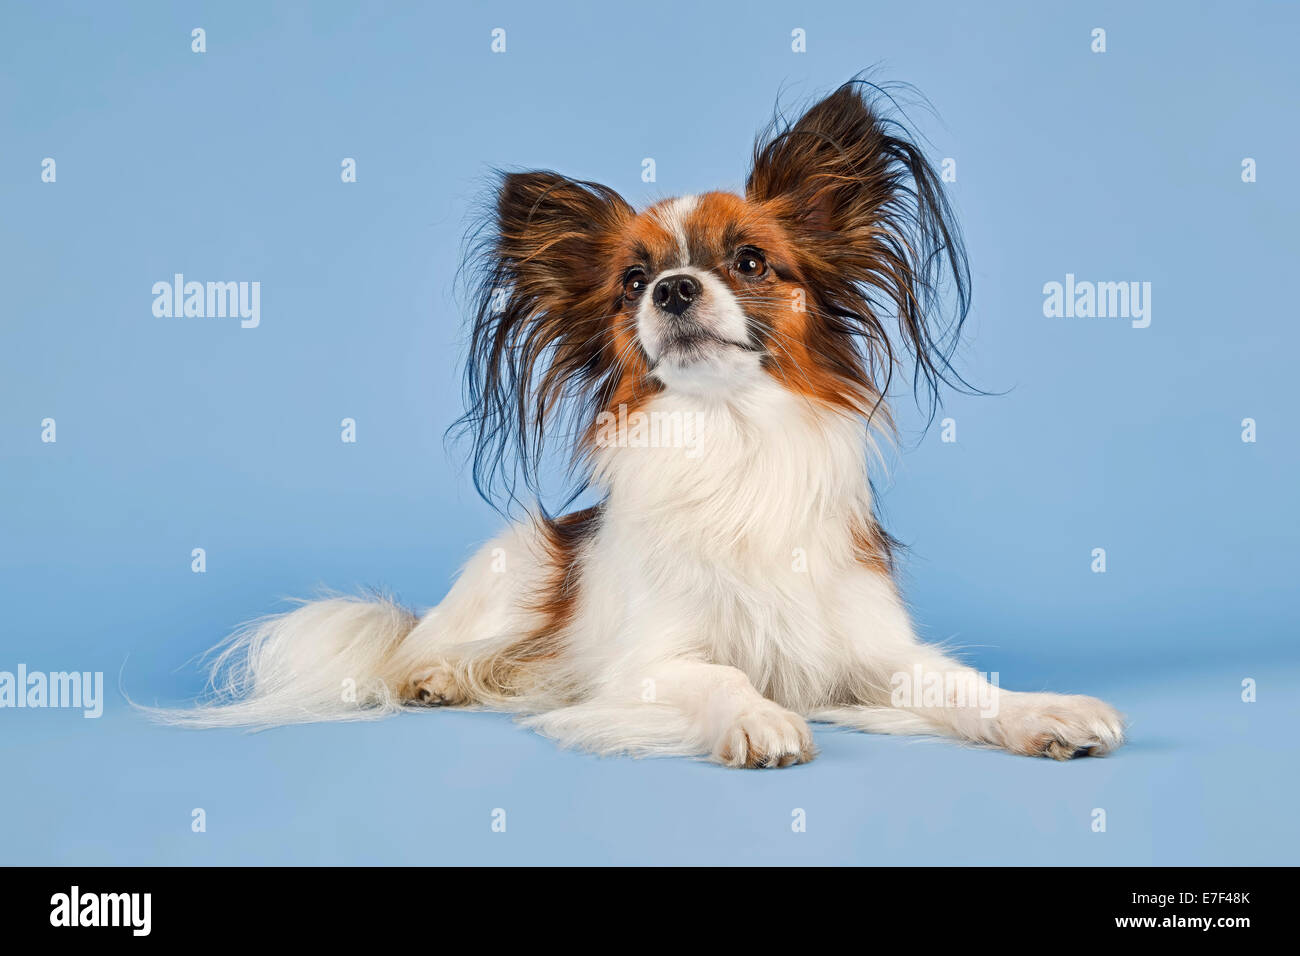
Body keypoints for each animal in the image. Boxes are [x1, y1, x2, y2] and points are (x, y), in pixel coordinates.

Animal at [167, 83, 1128, 770]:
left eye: (752, 263)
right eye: (632, 283)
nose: (672, 289)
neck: (732, 436)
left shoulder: (872, 649)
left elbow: (961, 686)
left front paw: (1043, 711)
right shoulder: (649, 665)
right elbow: (721, 674)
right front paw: (760, 718)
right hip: (513, 571)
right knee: (421, 649)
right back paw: (435, 676)